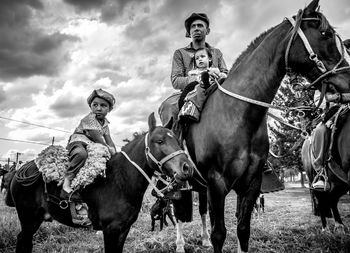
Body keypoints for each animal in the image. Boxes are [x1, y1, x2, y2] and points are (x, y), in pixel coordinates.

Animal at [5, 113, 196, 253]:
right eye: (159, 141)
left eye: (178, 141)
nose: (187, 168)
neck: (119, 182)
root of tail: (21, 170)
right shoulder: (110, 230)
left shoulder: (123, 230)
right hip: (29, 220)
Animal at [166, 0, 350, 252]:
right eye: (326, 34)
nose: (349, 81)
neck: (237, 116)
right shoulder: (216, 183)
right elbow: (219, 234)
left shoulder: (251, 183)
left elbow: (243, 229)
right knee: (176, 214)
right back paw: (180, 244)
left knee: (202, 210)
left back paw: (201, 239)